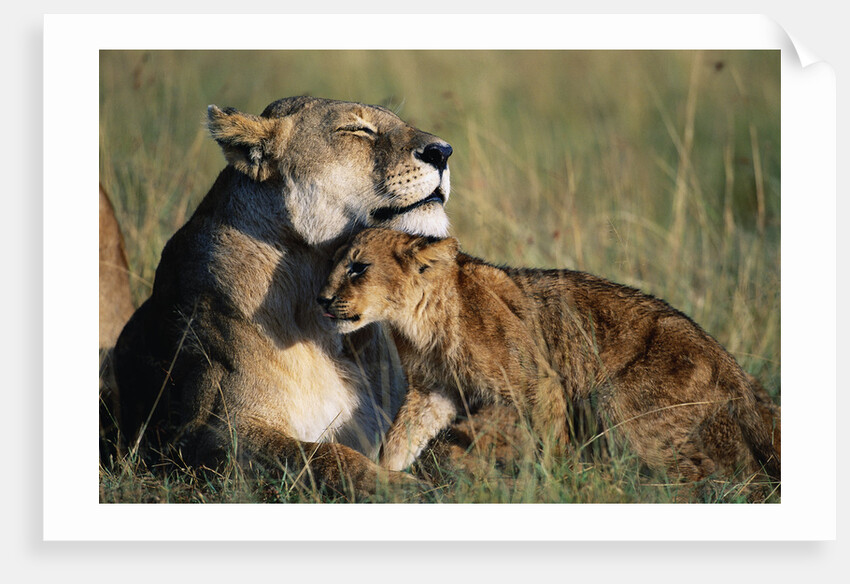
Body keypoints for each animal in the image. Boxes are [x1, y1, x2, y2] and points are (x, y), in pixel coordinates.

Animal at [318, 228, 781, 489]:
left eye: (358, 268)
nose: (321, 300)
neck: (419, 320)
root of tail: (721, 353)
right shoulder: (434, 391)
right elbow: (402, 439)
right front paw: (388, 476)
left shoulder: (540, 383)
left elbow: (550, 445)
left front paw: (558, 482)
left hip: (623, 409)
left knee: (708, 473)